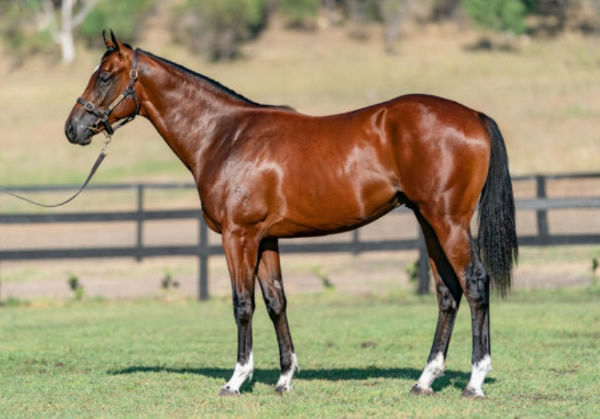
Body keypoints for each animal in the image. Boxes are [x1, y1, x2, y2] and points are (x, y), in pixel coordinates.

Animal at [64, 31, 516, 398]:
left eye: (104, 76)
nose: (73, 128)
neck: (224, 135)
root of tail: (473, 116)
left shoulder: (238, 236)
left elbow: (242, 303)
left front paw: (236, 379)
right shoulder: (266, 238)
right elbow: (276, 301)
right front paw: (284, 378)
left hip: (448, 222)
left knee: (475, 284)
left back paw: (474, 381)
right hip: (429, 222)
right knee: (447, 292)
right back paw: (425, 380)